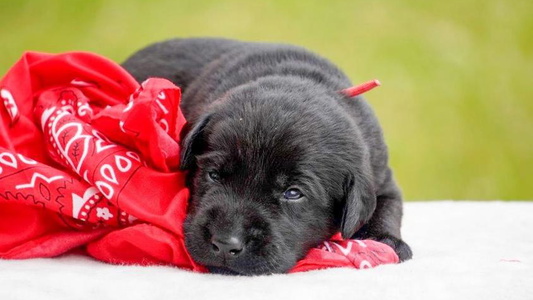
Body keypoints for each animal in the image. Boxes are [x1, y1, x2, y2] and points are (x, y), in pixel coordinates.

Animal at [121, 38, 412, 276]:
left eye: (293, 193)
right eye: (213, 175)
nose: (225, 244)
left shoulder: (382, 178)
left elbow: (387, 206)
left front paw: (385, 240)